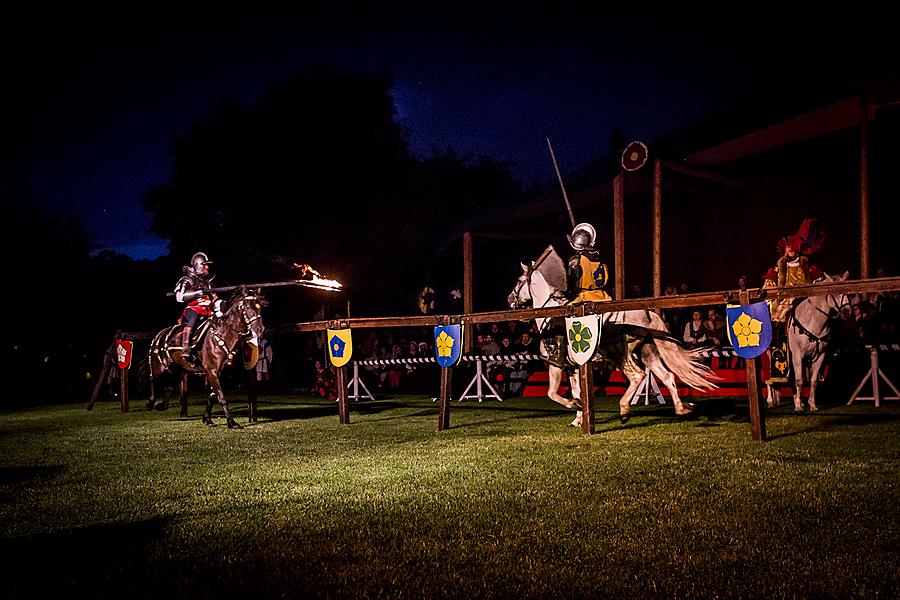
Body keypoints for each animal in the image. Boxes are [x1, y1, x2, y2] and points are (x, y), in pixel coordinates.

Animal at [147, 288, 264, 428]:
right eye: (247, 306)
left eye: (259, 307)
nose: (260, 329)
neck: (223, 334)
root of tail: (158, 336)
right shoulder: (212, 371)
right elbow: (221, 396)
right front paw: (231, 422)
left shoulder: (221, 373)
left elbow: (213, 395)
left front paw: (207, 419)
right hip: (159, 367)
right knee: (152, 380)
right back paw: (151, 402)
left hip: (177, 369)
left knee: (169, 386)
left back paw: (161, 405)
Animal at [510, 246, 720, 424]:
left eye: (519, 281)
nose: (510, 299)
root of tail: (648, 314)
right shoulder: (573, 367)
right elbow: (577, 391)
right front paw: (578, 418)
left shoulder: (555, 364)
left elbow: (552, 393)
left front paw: (574, 406)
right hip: (647, 352)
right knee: (667, 376)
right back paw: (680, 408)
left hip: (620, 352)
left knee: (637, 376)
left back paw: (624, 409)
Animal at [768, 274, 852, 410]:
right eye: (835, 291)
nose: (847, 312)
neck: (812, 321)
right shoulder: (797, 355)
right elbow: (799, 380)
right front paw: (798, 406)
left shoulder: (820, 356)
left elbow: (813, 381)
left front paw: (811, 404)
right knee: (769, 379)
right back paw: (770, 400)